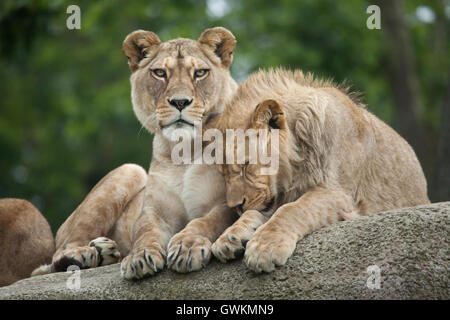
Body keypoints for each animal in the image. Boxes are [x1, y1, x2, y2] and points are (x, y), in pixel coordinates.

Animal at [33, 26, 239, 280]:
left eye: (200, 73)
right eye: (160, 73)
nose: (180, 102)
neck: (184, 152)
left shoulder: (226, 202)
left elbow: (208, 221)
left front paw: (187, 246)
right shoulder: (154, 211)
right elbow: (146, 231)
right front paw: (140, 257)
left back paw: (105, 251)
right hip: (130, 170)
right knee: (56, 256)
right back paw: (84, 255)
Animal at [211, 68, 428, 272]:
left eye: (246, 165)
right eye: (223, 174)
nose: (236, 206)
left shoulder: (340, 195)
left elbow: (293, 210)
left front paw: (265, 248)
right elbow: (258, 213)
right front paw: (229, 237)